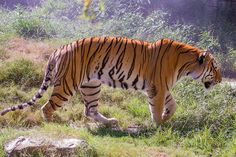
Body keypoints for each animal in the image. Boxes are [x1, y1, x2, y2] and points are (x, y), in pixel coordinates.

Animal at [0, 37, 221, 127]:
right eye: (216, 68)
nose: (220, 80)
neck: (186, 65)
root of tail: (60, 48)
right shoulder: (158, 87)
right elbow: (156, 109)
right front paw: (159, 125)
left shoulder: (162, 87)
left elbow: (173, 105)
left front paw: (166, 118)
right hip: (67, 85)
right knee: (47, 107)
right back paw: (54, 123)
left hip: (91, 86)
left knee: (89, 110)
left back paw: (110, 122)